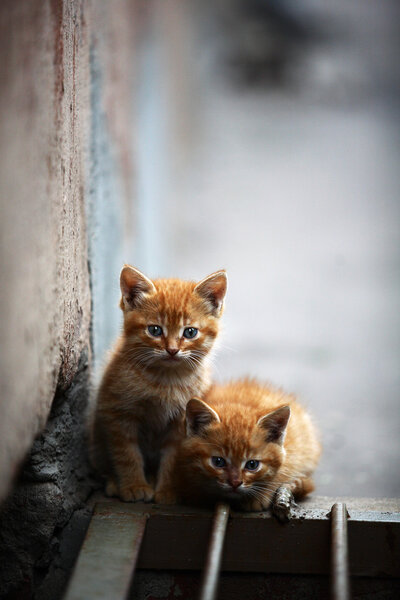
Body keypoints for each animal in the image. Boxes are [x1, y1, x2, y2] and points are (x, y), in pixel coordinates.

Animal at [91, 264, 228, 504]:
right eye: (155, 330)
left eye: (190, 332)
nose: (172, 350)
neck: (166, 380)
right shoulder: (118, 413)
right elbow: (126, 452)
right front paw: (134, 485)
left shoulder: (181, 422)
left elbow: (172, 457)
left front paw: (167, 490)